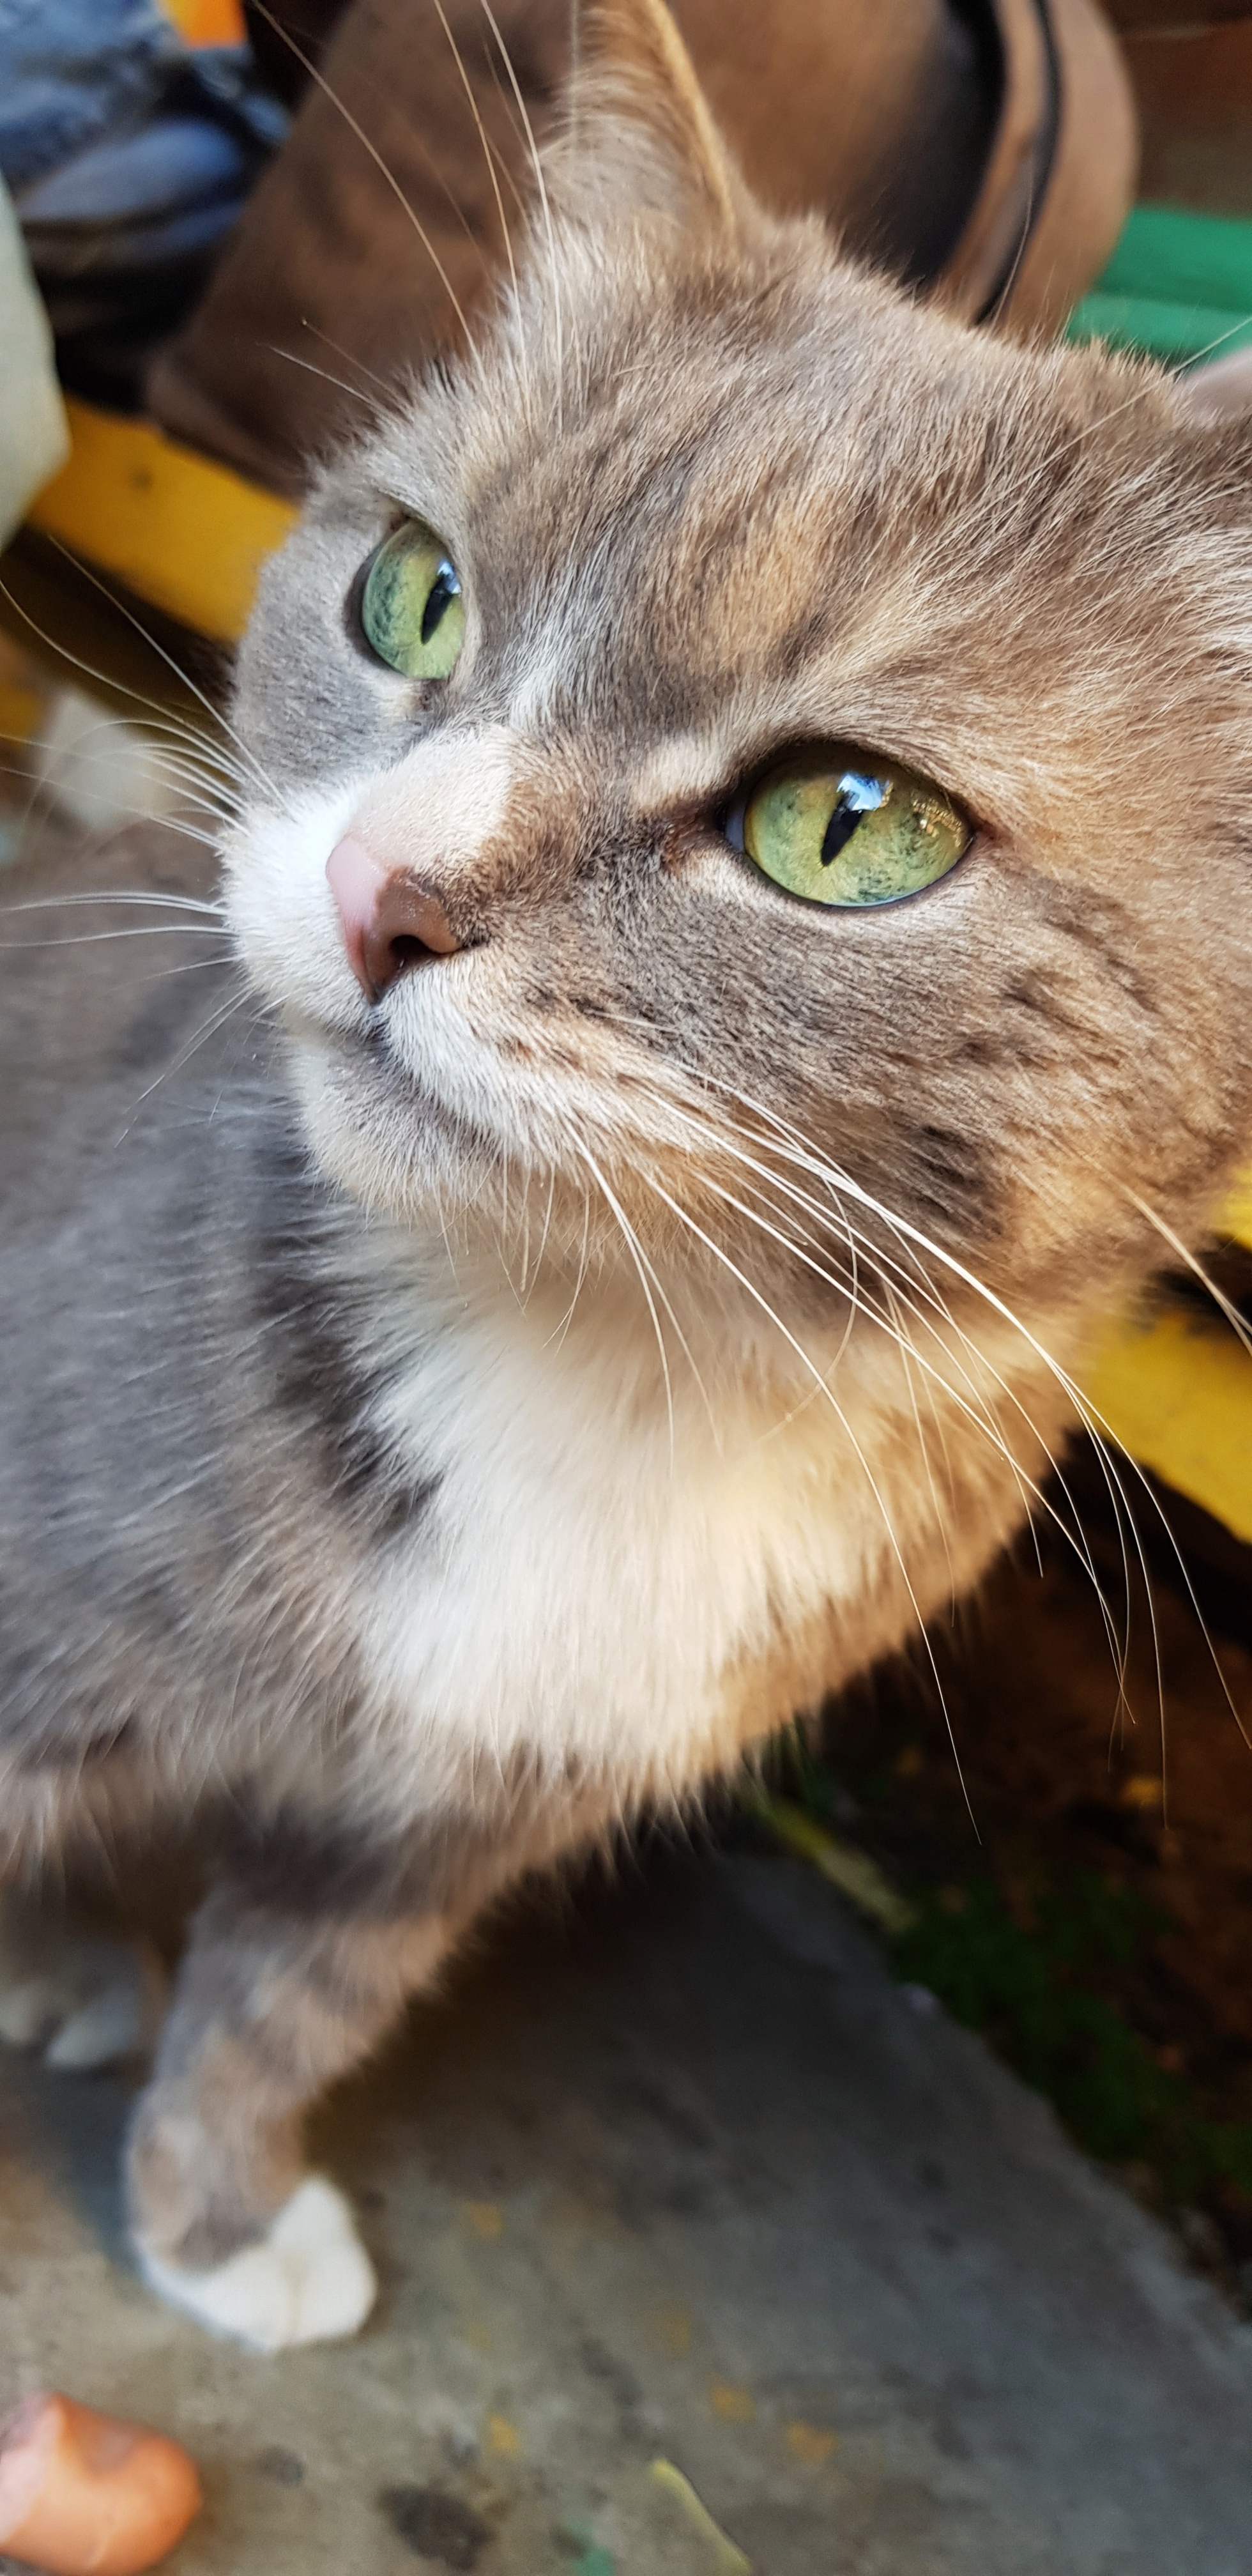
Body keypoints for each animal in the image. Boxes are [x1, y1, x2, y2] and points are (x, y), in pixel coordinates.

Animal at [2, 0, 1252, 2349]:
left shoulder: (437, 1820)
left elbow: (291, 2003)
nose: (379, 892)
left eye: (848, 824)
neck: (616, 1373)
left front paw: (217, 2215)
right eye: (411, 593)